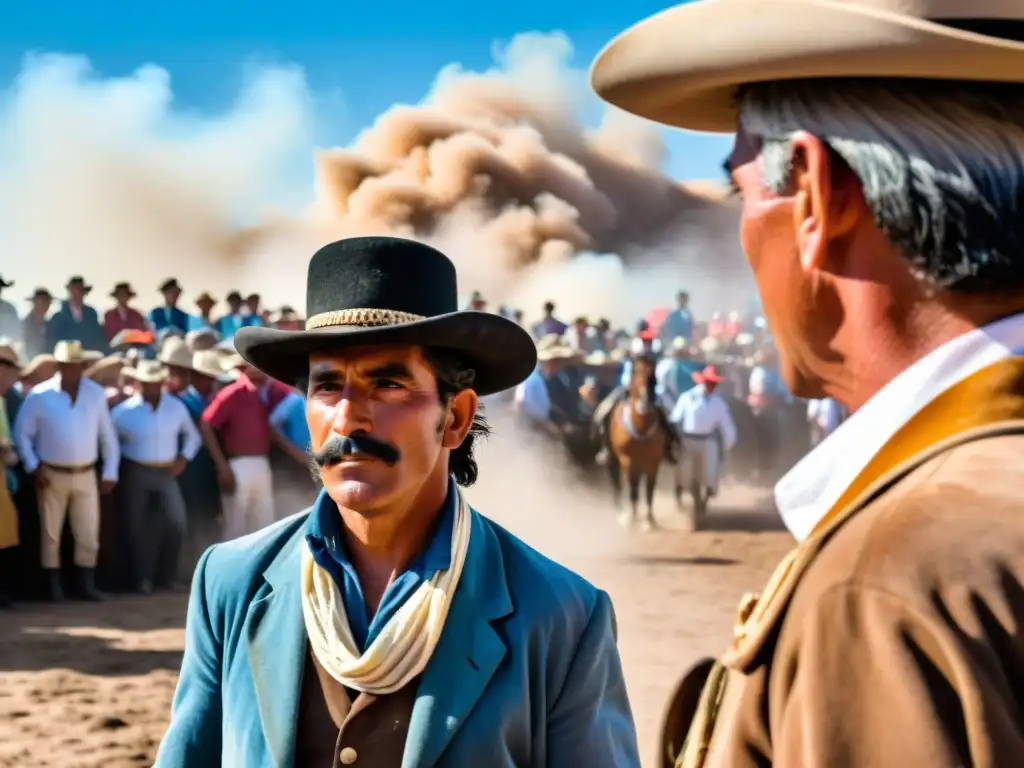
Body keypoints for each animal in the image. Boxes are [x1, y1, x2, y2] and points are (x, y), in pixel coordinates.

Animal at [606, 364, 671, 532]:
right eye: (635, 374)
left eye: (653, 377)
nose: (644, 402)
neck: (640, 429)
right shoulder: (628, 463)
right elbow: (633, 492)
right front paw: (631, 519)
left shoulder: (653, 464)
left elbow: (649, 492)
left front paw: (649, 520)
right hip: (615, 461)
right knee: (617, 483)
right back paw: (619, 509)